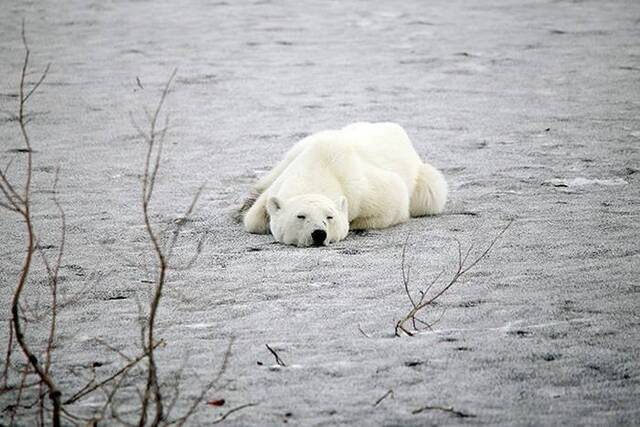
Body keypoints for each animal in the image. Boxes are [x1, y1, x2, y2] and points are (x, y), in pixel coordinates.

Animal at [242, 122, 448, 247]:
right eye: (300, 216)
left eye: (329, 217)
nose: (319, 234)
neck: (319, 165)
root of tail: (394, 127)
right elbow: (253, 219)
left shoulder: (364, 189)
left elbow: (393, 202)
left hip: (423, 181)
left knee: (430, 194)